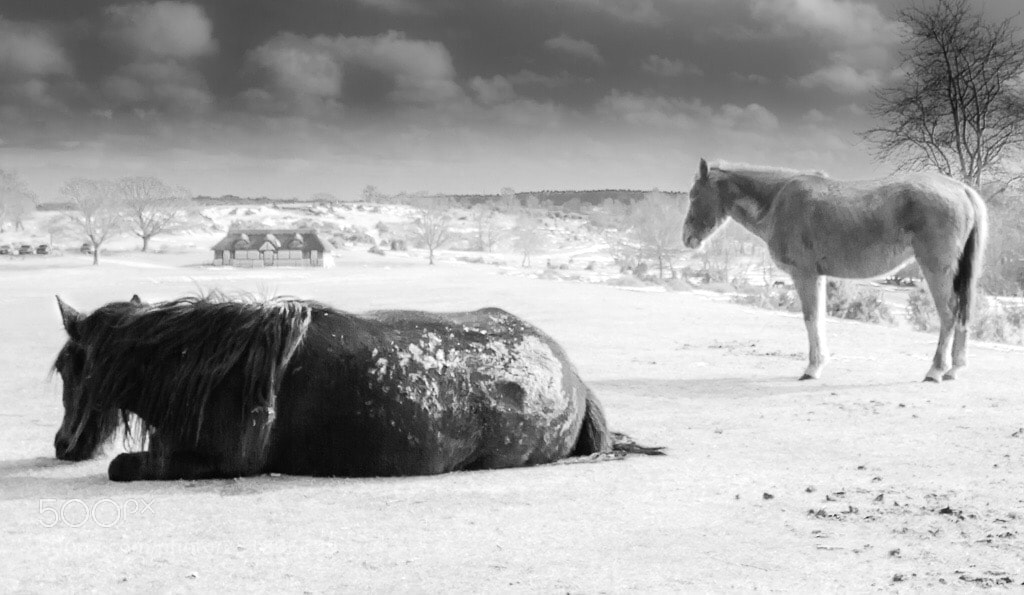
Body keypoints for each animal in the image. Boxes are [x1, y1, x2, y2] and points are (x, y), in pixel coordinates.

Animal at [52, 294, 661, 481]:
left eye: (67, 369)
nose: (63, 444)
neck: (220, 372)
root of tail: (572, 374)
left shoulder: (217, 462)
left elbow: (120, 466)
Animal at [683, 158, 987, 382]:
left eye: (694, 195)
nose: (687, 238)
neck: (778, 201)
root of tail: (961, 190)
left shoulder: (804, 274)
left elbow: (810, 318)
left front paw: (812, 368)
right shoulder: (817, 276)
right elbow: (818, 318)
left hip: (936, 269)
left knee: (949, 314)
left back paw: (936, 370)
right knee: (961, 313)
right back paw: (954, 368)